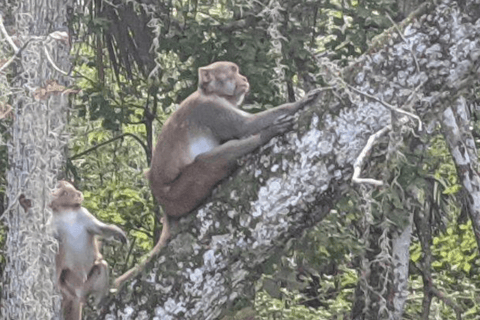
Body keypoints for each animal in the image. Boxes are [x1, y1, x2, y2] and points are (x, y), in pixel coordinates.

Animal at [50, 180, 127, 320]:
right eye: (56, 188)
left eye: (62, 190)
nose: (53, 191)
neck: (66, 212)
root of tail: (77, 295)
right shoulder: (54, 223)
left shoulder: (83, 214)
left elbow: (100, 229)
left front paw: (118, 233)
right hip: (69, 284)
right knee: (62, 268)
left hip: (86, 287)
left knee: (102, 265)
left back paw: (99, 304)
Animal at [114, 60, 320, 288]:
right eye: (233, 71)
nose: (244, 78)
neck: (210, 93)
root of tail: (164, 207)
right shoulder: (210, 109)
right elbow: (244, 126)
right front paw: (297, 103)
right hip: (180, 193)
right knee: (205, 162)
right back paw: (262, 137)